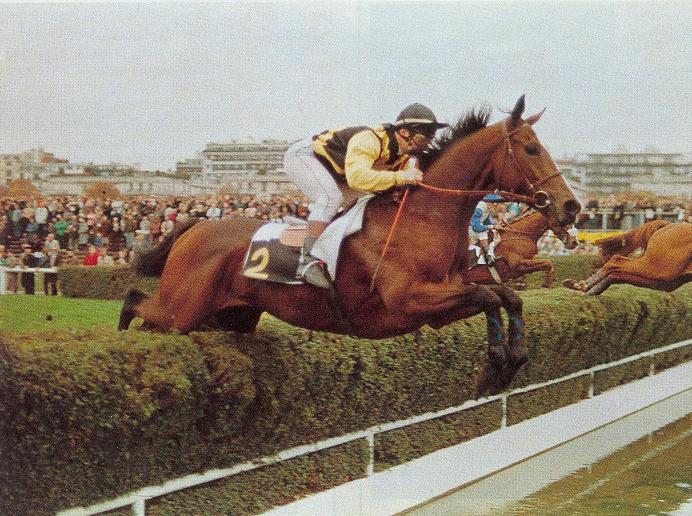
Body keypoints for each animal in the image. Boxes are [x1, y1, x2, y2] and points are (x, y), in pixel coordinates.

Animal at [121, 95, 580, 396]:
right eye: (531, 148)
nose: (571, 206)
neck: (422, 218)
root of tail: (195, 227)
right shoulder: (410, 299)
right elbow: (490, 294)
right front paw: (496, 365)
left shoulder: (441, 304)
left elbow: (505, 296)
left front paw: (509, 363)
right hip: (183, 309)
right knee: (137, 304)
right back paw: (125, 330)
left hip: (230, 317)